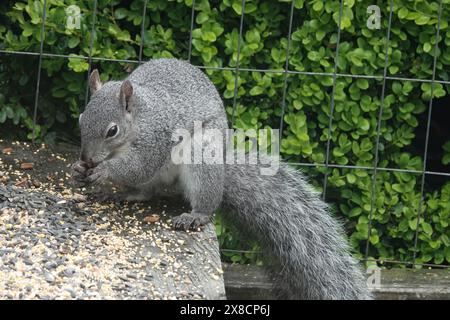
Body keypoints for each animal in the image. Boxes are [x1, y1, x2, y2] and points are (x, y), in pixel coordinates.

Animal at [73, 58, 372, 300]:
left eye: (112, 130)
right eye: (80, 118)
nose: (86, 158)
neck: (138, 119)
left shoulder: (155, 140)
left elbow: (138, 166)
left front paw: (103, 171)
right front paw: (80, 169)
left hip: (202, 158)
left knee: (204, 201)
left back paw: (196, 215)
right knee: (146, 192)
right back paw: (121, 194)